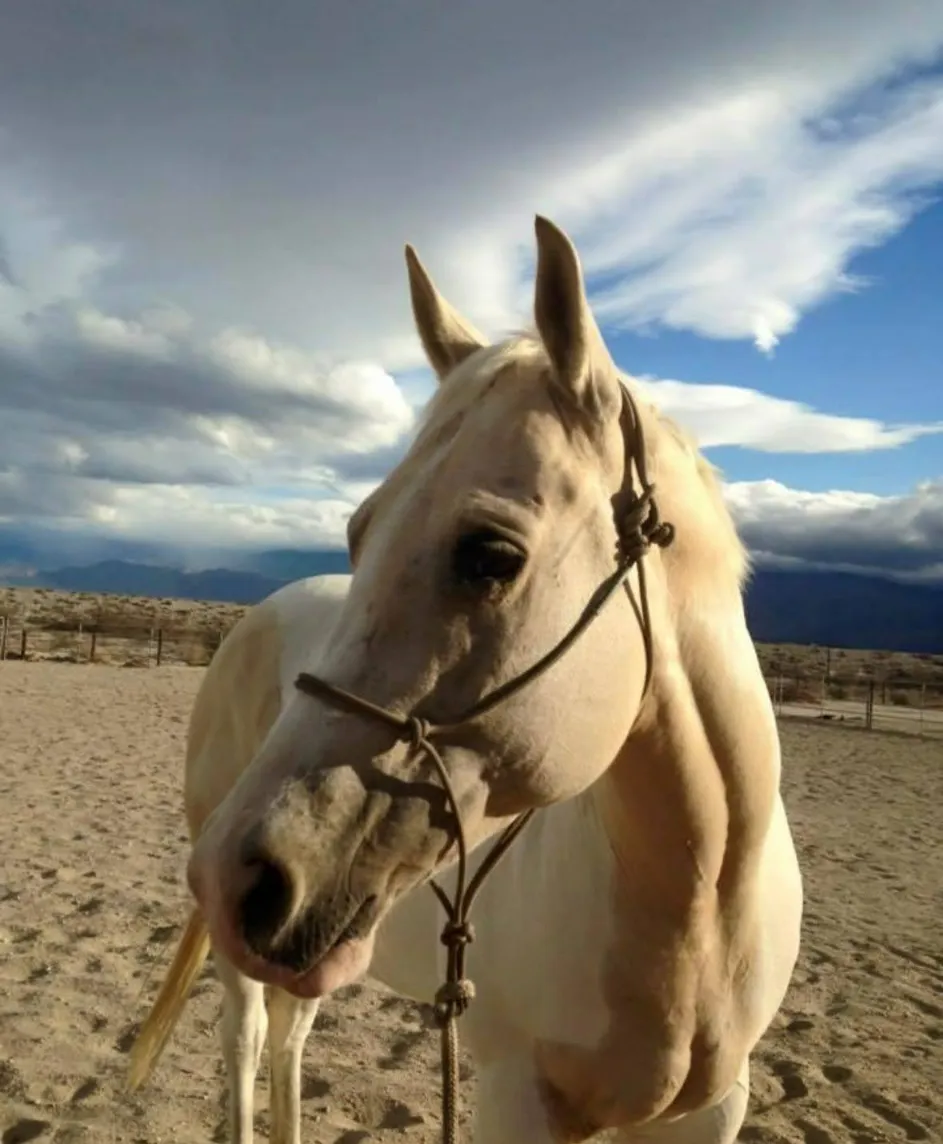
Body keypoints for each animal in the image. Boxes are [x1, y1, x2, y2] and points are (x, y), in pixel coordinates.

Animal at [127, 215, 803, 1143]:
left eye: (489, 555)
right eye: (359, 530)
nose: (239, 874)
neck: (697, 911)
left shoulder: (709, 1109)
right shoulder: (516, 1095)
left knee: (290, 1035)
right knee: (247, 1035)